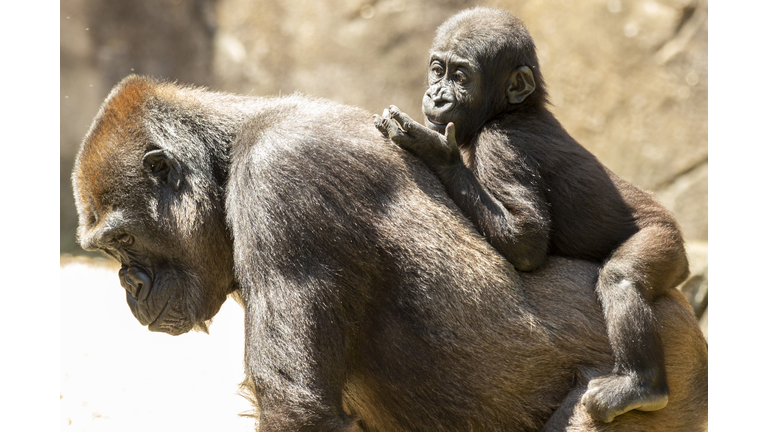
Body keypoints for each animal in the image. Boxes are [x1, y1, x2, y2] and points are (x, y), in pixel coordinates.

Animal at [73, 76, 708, 430]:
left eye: (123, 241)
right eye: (108, 251)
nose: (130, 285)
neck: (229, 150)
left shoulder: (282, 176)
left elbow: (296, 407)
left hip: (665, 366)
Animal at [376, 7, 688, 426]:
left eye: (460, 77)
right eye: (437, 70)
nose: (436, 95)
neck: (513, 109)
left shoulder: (501, 146)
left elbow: (527, 239)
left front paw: (435, 152)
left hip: (665, 238)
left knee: (622, 278)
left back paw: (641, 387)